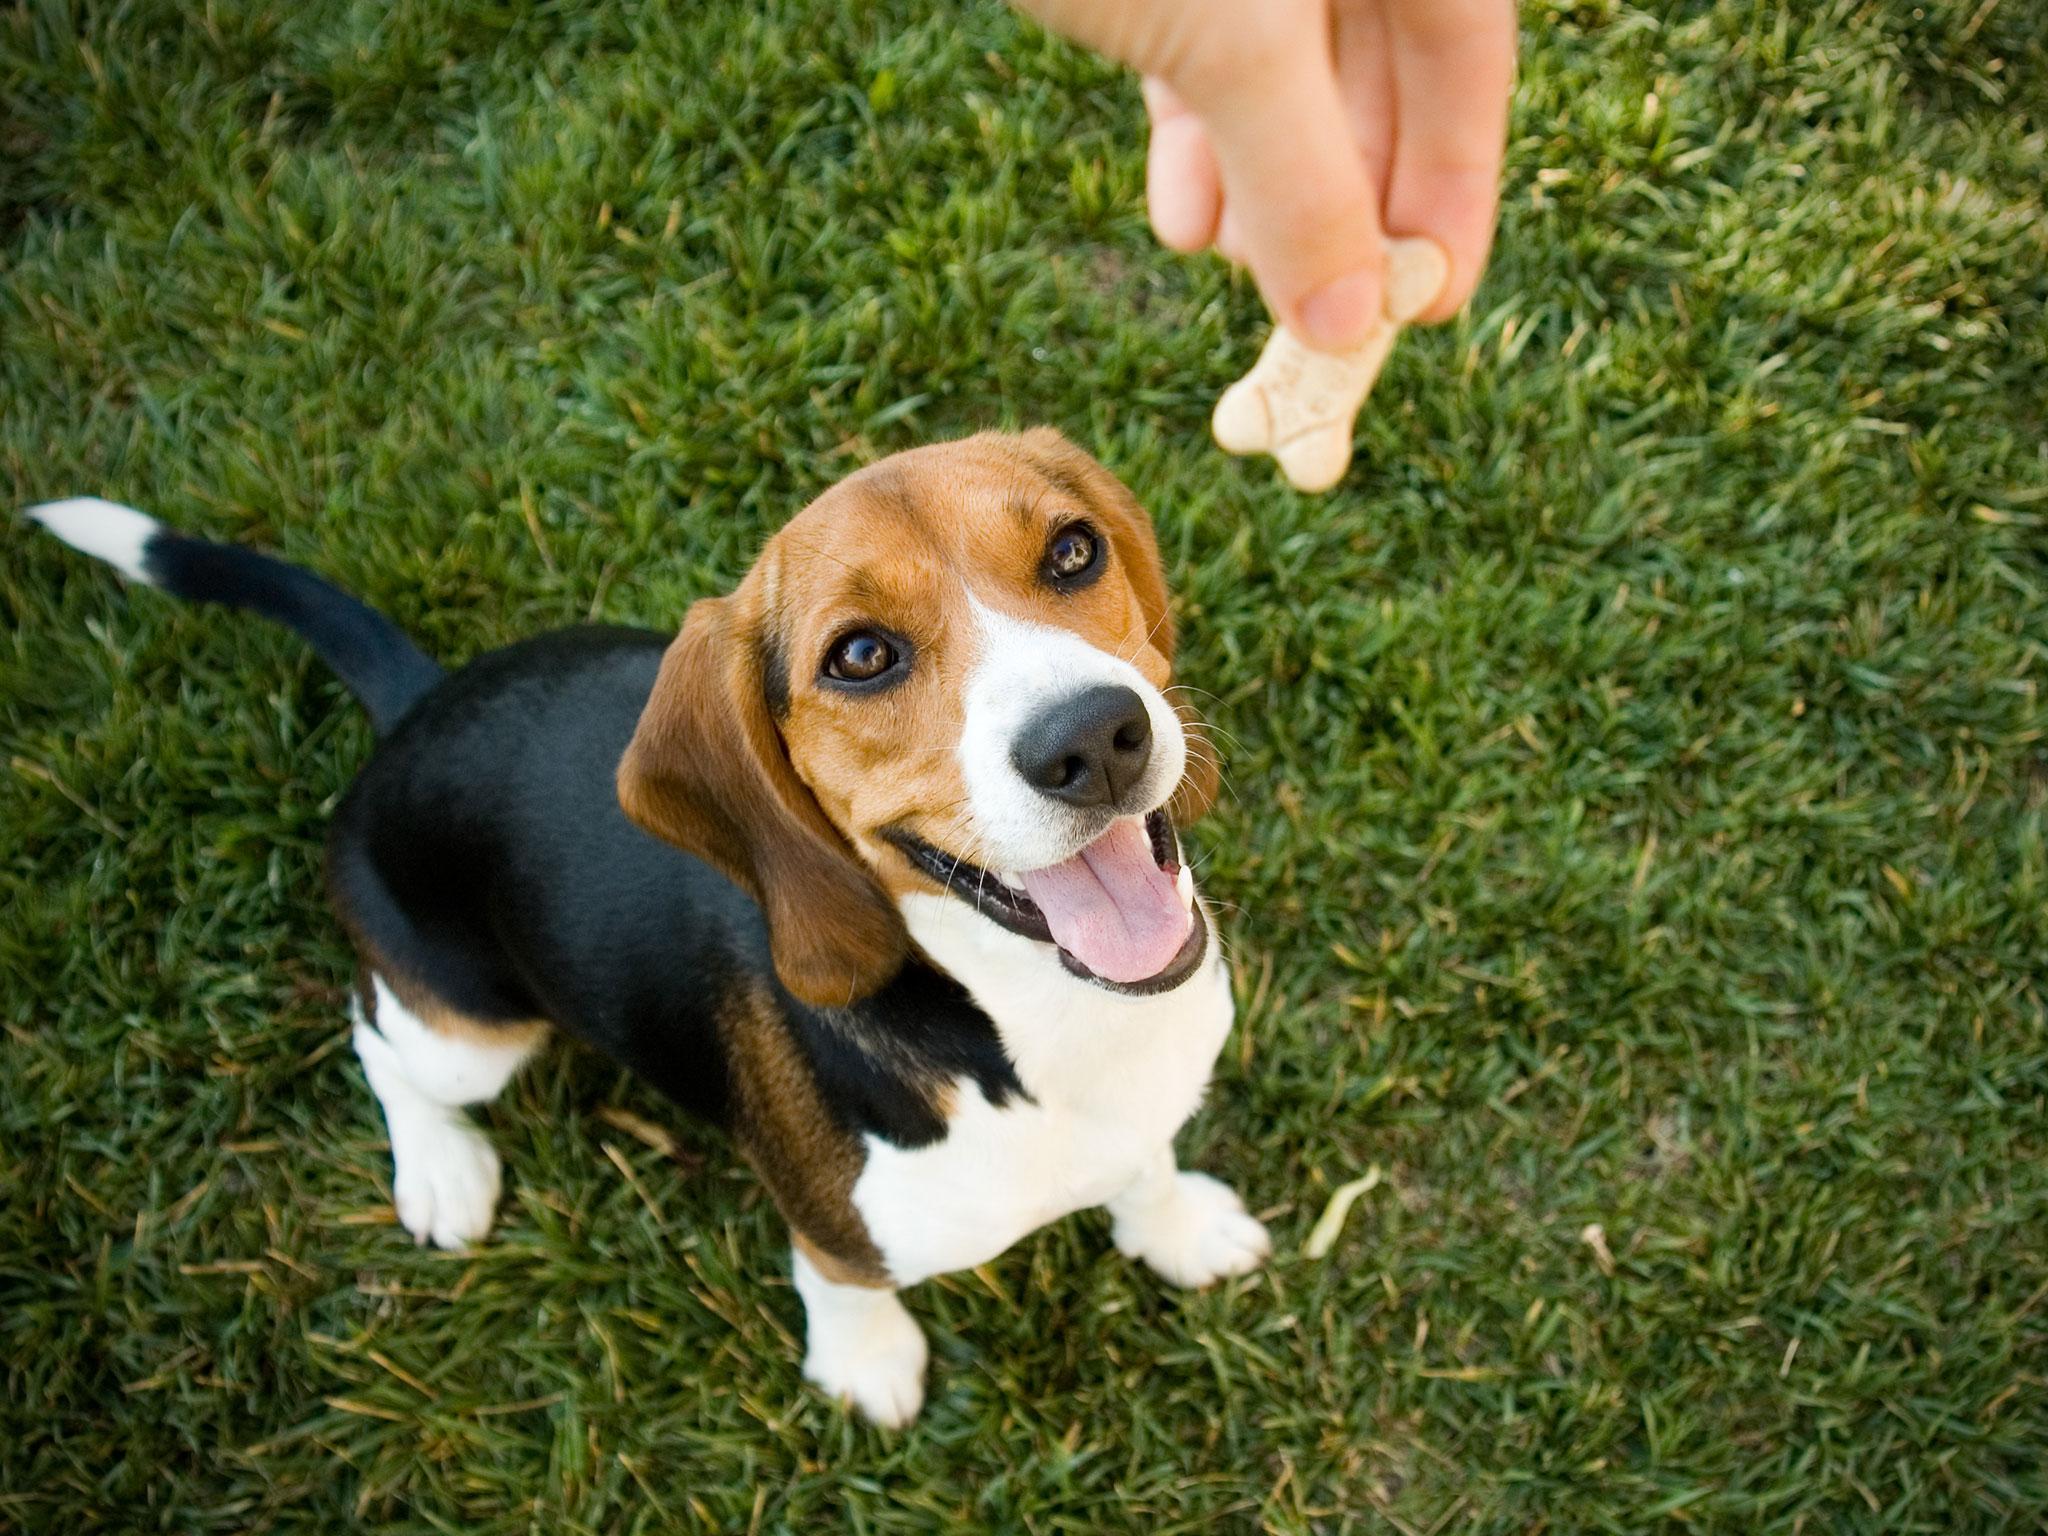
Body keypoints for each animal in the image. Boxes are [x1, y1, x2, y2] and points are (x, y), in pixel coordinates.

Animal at [32, 430, 1261, 1433]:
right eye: (861, 657)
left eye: (1071, 552)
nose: (1092, 737)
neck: (1036, 1016)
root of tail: (419, 706)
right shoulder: (834, 1229)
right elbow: (843, 1282)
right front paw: (867, 1365)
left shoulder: (1140, 1107)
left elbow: (1146, 1166)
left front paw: (1176, 1228)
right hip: (471, 1034)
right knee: (375, 1034)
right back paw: (440, 1167)